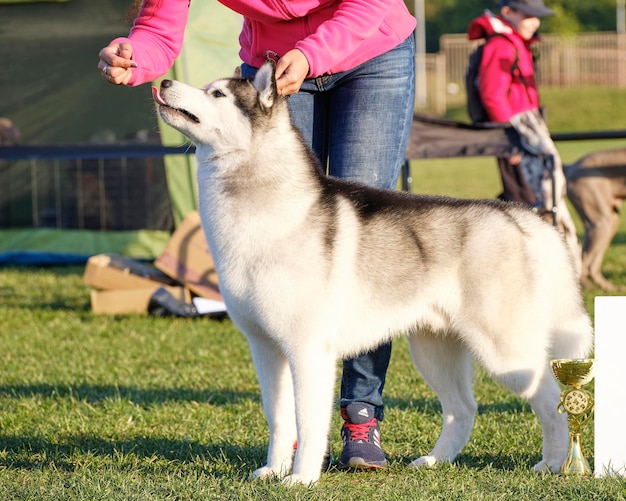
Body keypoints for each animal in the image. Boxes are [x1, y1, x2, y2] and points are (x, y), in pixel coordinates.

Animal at [564, 146, 624, 292]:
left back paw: (609, 288)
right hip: (601, 221)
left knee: (592, 266)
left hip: (609, 222)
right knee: (584, 263)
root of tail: (571, 166)